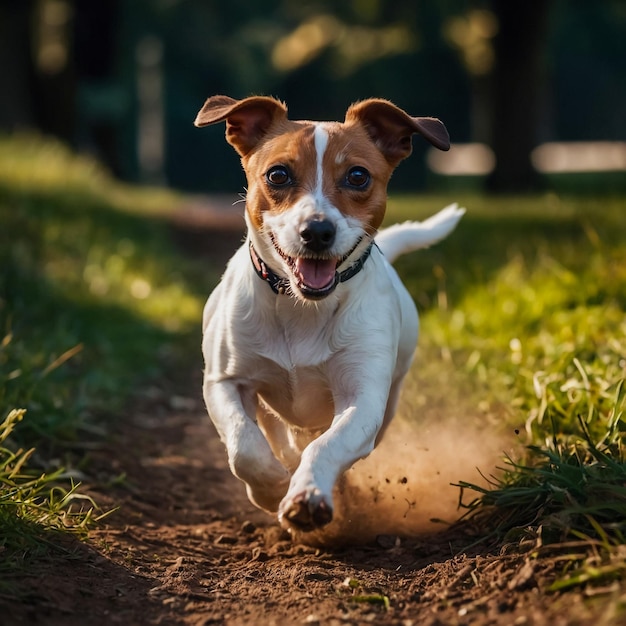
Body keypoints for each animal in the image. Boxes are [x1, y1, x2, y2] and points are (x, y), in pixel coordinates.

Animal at [195, 95, 464, 528]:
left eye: (358, 176)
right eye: (278, 175)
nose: (317, 230)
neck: (303, 307)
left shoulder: (363, 398)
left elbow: (327, 446)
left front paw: (307, 494)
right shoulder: (225, 382)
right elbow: (244, 444)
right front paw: (271, 486)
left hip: (390, 399)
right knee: (276, 433)